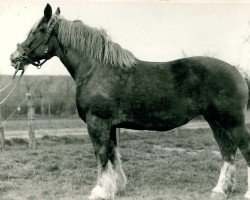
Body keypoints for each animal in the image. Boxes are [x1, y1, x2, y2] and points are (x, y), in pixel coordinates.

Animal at [10, 3, 250, 199]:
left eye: (36, 31)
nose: (14, 58)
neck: (96, 69)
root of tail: (236, 70)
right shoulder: (110, 125)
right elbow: (113, 154)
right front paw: (116, 187)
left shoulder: (97, 122)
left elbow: (101, 154)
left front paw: (99, 191)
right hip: (215, 122)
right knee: (227, 151)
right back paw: (220, 190)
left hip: (232, 121)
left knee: (244, 147)